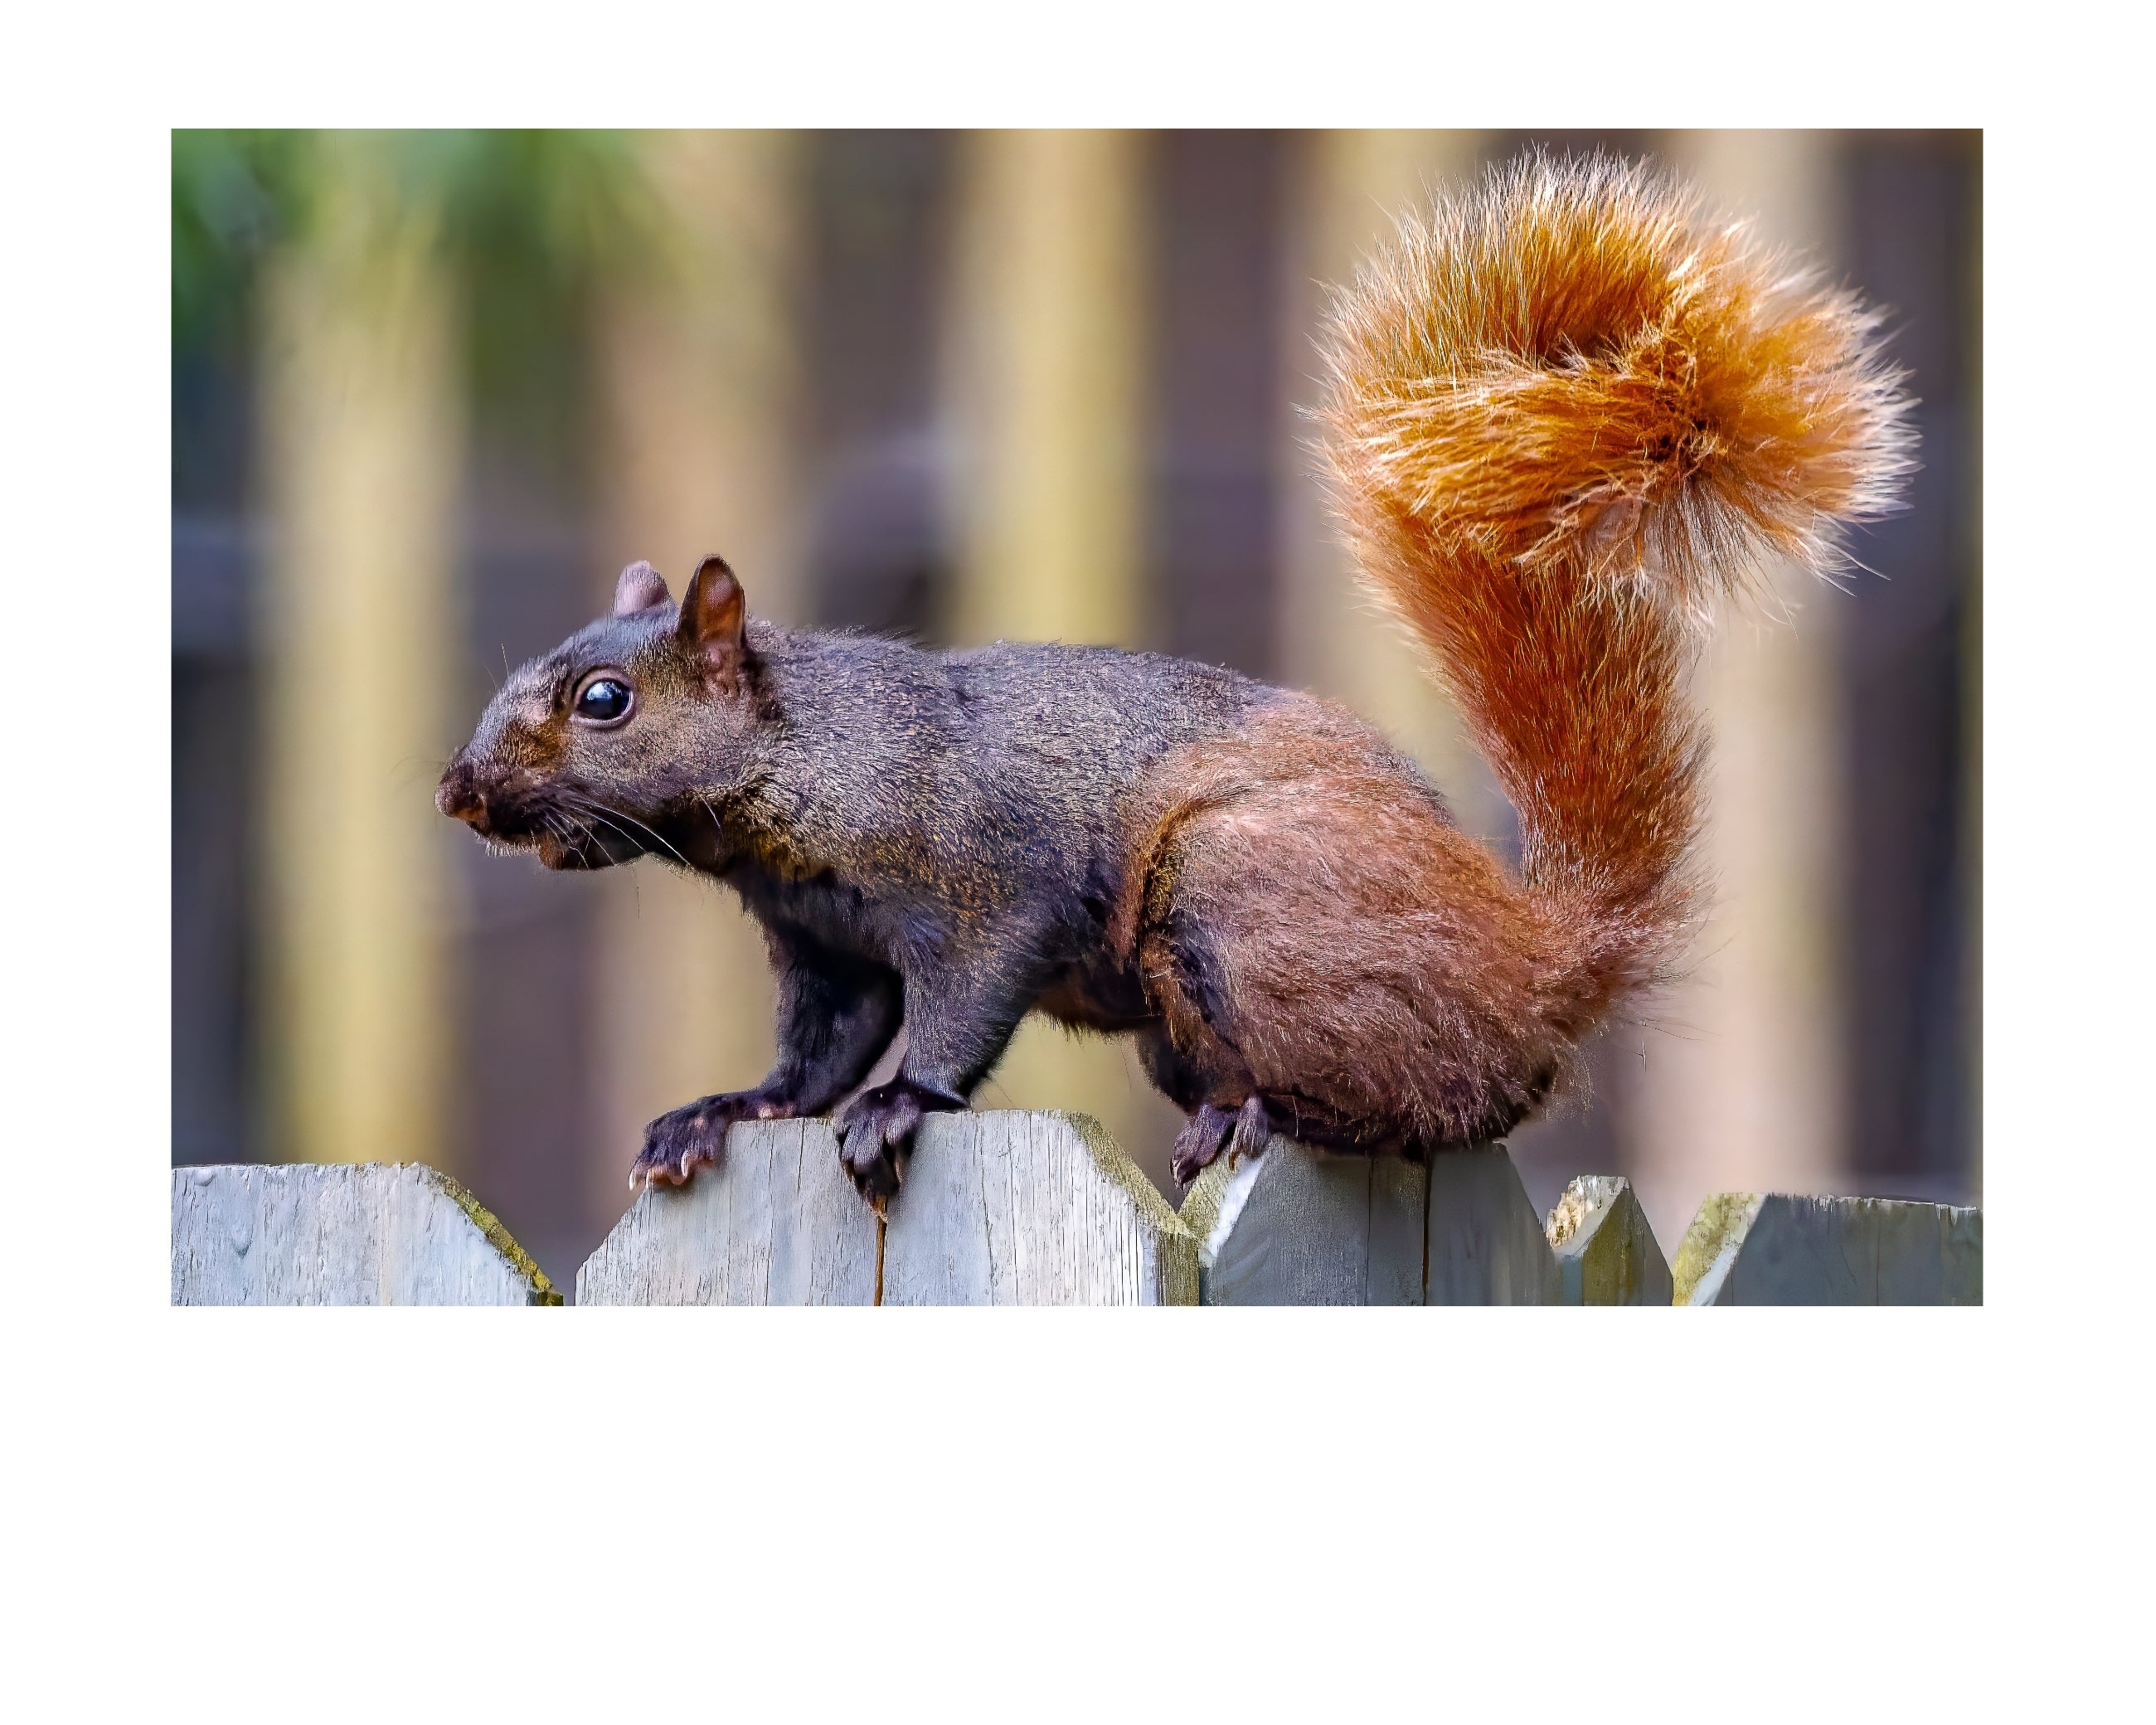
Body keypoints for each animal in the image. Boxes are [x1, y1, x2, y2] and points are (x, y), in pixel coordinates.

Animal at [437, 151, 1914, 1200]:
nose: (458, 793)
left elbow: (957, 1013)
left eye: (605, 701)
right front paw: (724, 1113)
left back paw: (1260, 1112)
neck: (809, 762)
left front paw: (899, 1108)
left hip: (1233, 898)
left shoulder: (983, 883)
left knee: (1429, 1108)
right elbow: (818, 1052)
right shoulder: (824, 946)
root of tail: (1535, 955)